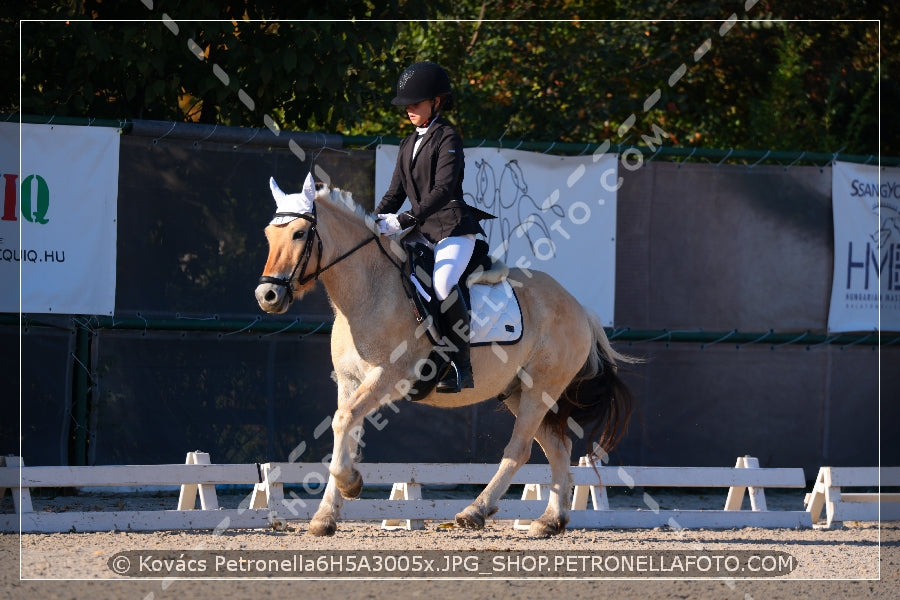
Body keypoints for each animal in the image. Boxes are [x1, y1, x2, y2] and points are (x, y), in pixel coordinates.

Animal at [251, 172, 632, 536]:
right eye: (269, 234)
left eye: (300, 233)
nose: (267, 296)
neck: (369, 292)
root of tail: (579, 306)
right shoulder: (348, 382)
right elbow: (344, 430)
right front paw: (326, 517)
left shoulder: (387, 377)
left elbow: (343, 421)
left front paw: (351, 484)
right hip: (519, 391)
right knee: (557, 448)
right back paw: (550, 521)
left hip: (540, 389)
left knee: (520, 450)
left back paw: (475, 512)